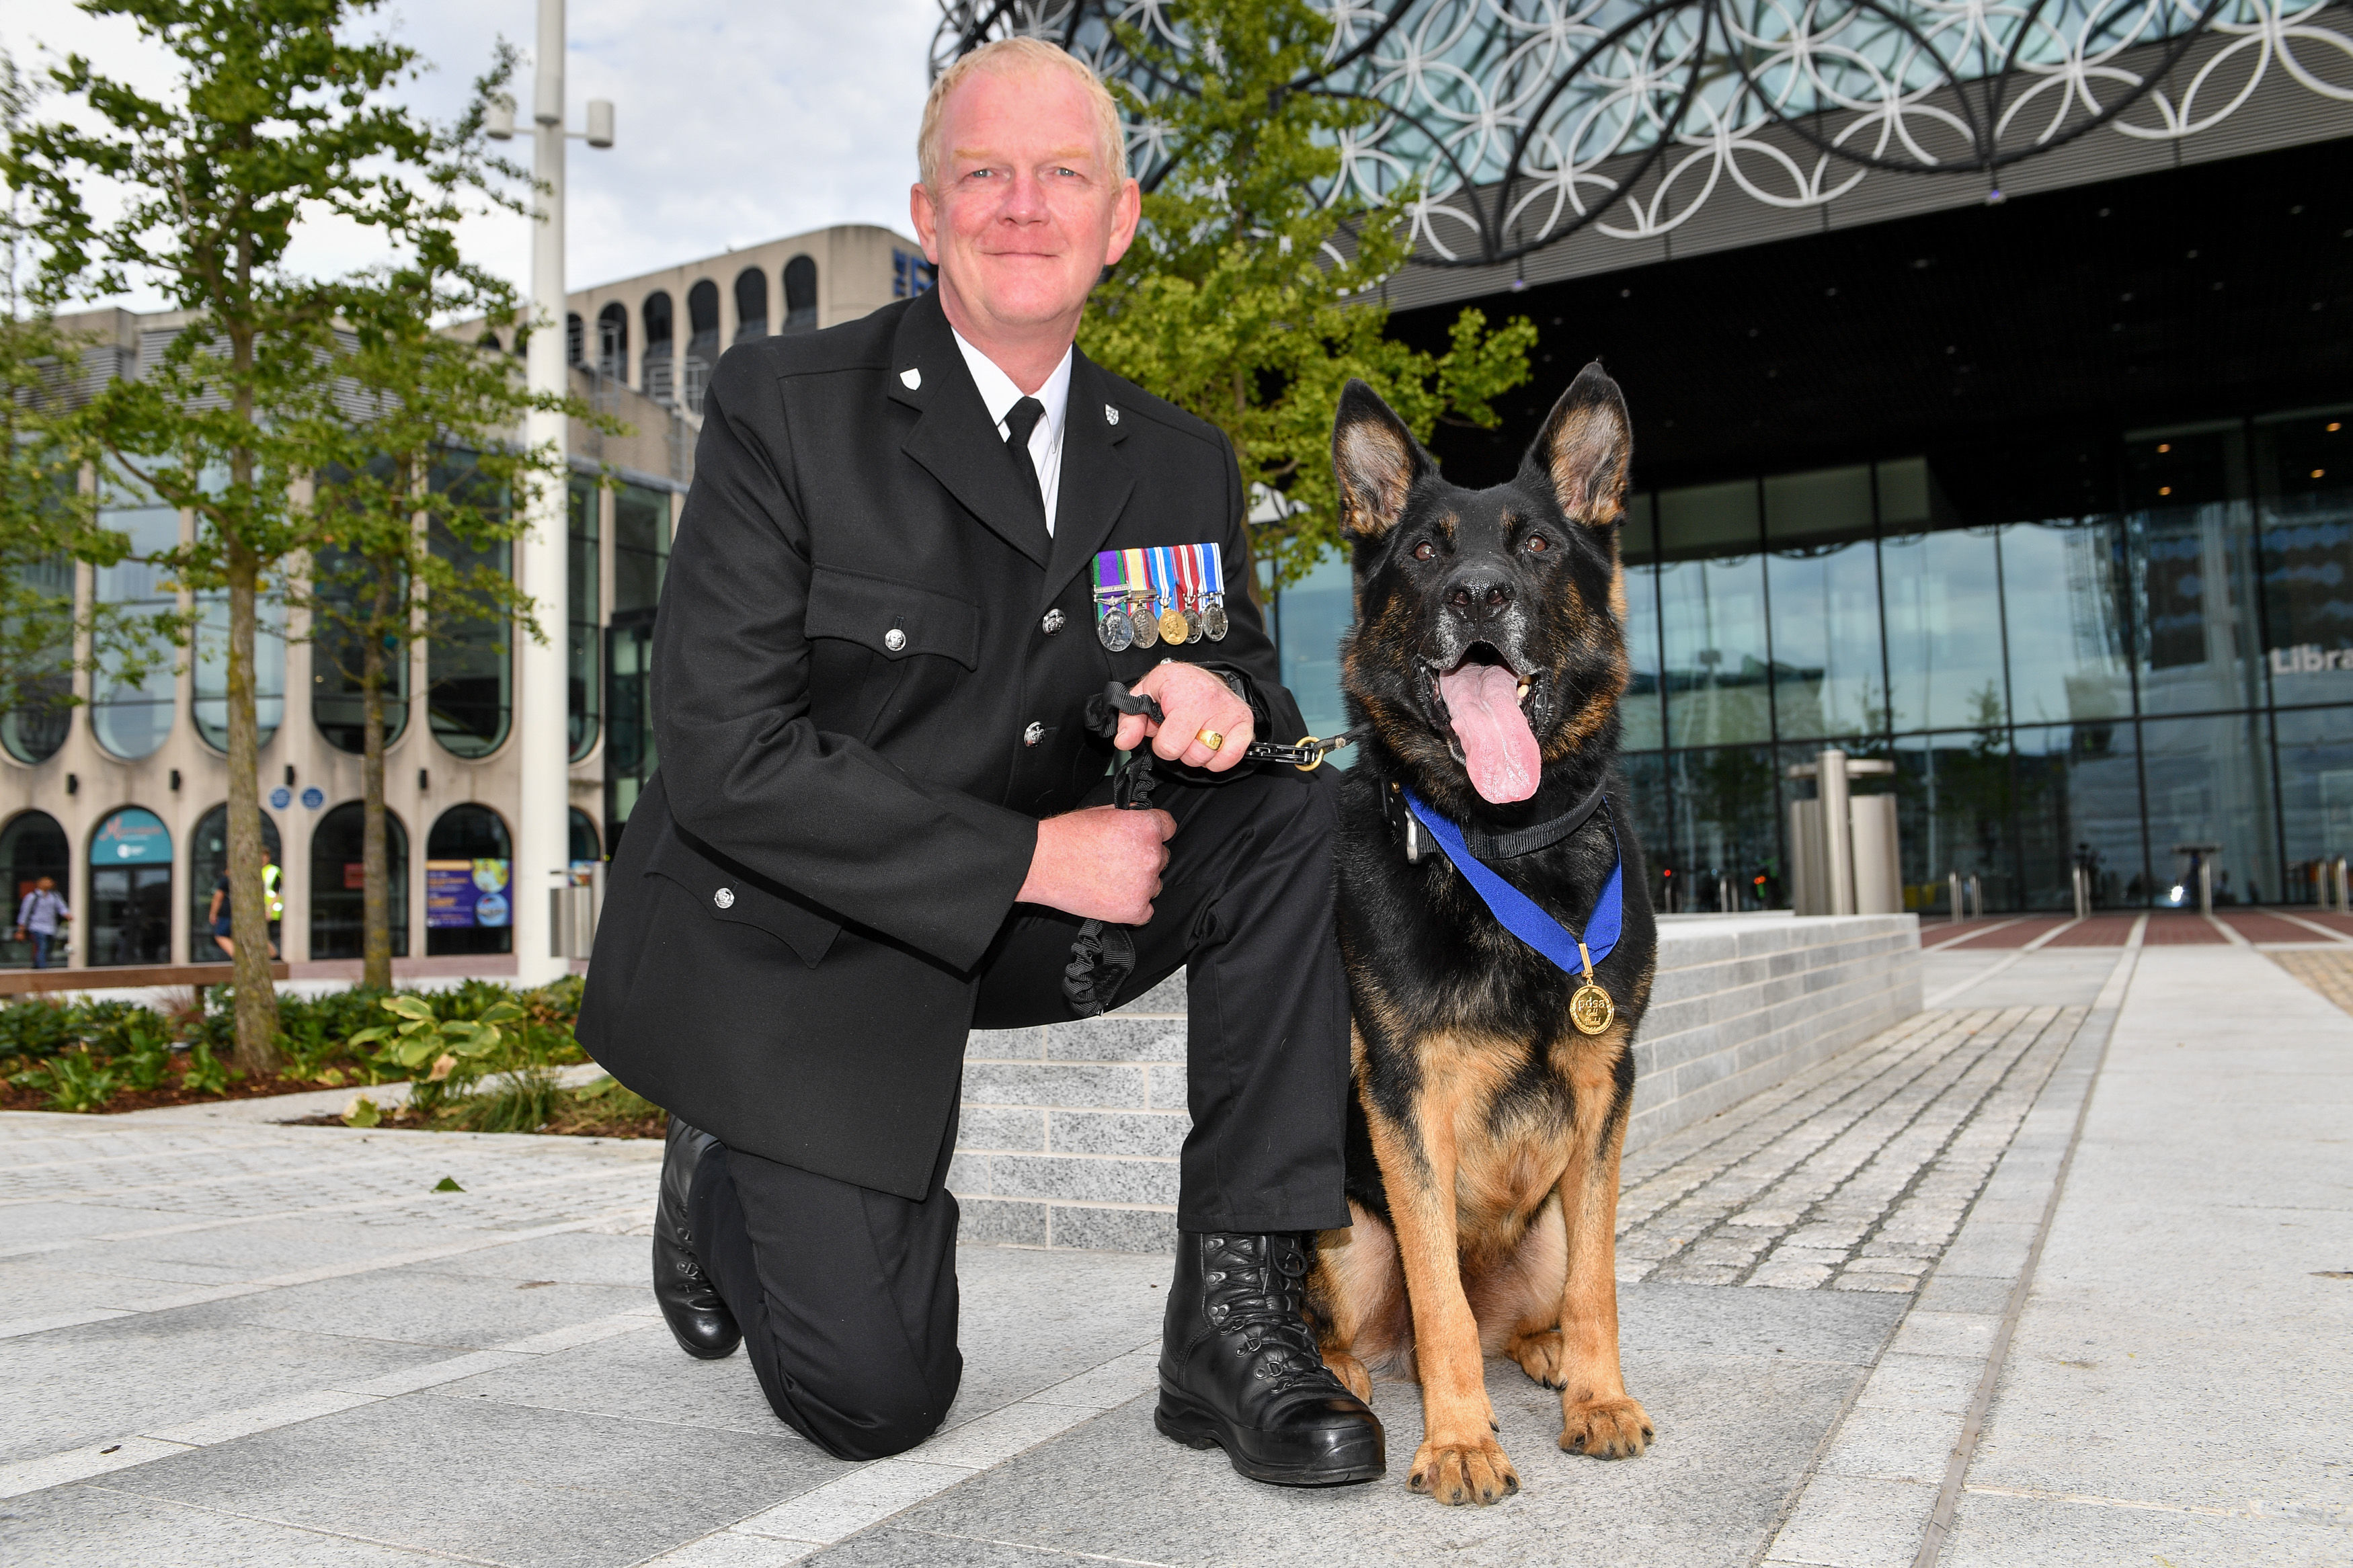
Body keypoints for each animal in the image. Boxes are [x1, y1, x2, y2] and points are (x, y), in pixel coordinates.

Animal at [1308, 369, 1657, 1504]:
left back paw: (1546, 1350)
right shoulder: (1405, 1097)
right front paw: (1459, 1439)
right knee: (1387, 1318)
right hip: (1343, 1232)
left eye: (1537, 545)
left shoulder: (1605, 1089)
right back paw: (1343, 1370)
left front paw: (1601, 1398)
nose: (1478, 594)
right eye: (1426, 551)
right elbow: (1440, 1304)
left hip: (1545, 1228)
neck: (1502, 846)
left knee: (1540, 1301)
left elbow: (1600, 1284)